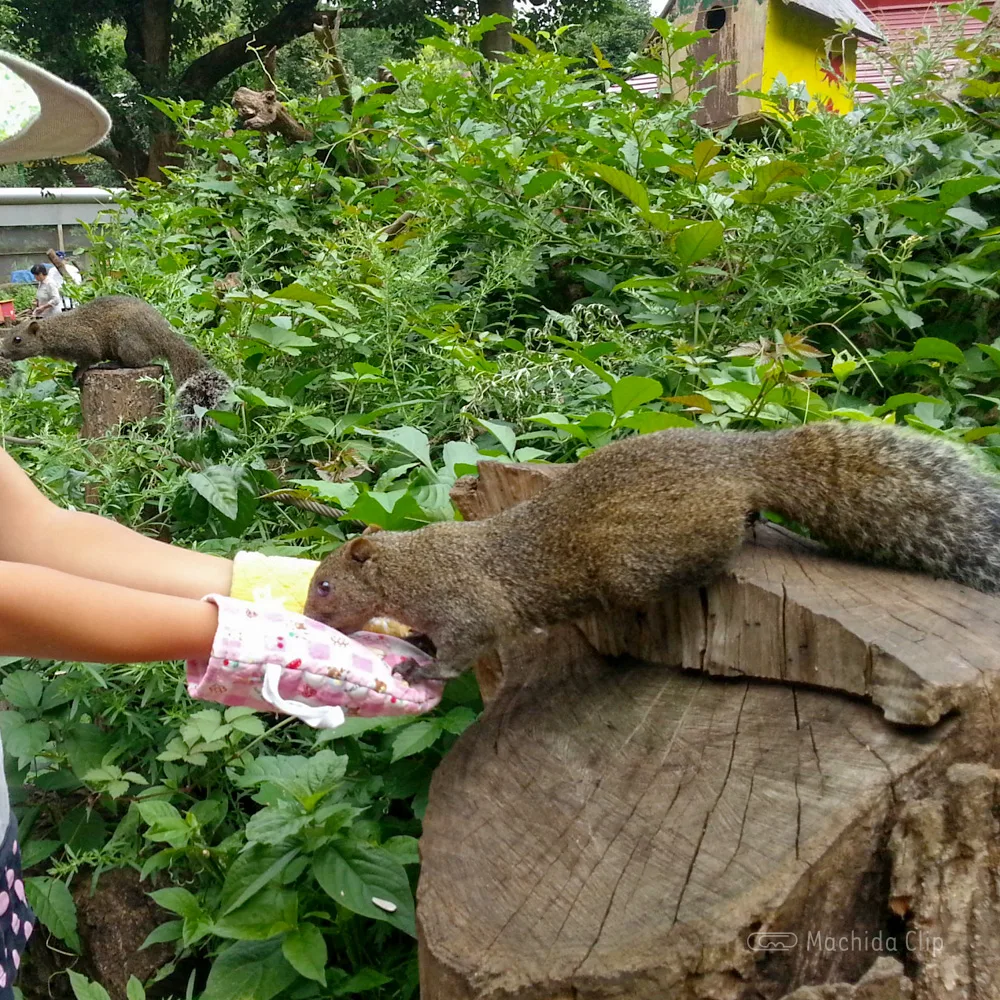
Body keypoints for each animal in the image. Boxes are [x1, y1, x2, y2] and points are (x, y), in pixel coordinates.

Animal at [0, 292, 230, 426]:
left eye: (17, 339)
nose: (1, 352)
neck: (55, 332)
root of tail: (164, 336)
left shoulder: (85, 344)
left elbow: (87, 360)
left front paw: (79, 373)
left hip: (127, 340)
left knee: (137, 363)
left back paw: (112, 364)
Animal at [300, 422, 1000, 680]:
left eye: (326, 585)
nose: (308, 617)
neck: (409, 566)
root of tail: (740, 460)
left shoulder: (465, 600)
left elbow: (473, 637)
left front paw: (427, 669)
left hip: (639, 561)